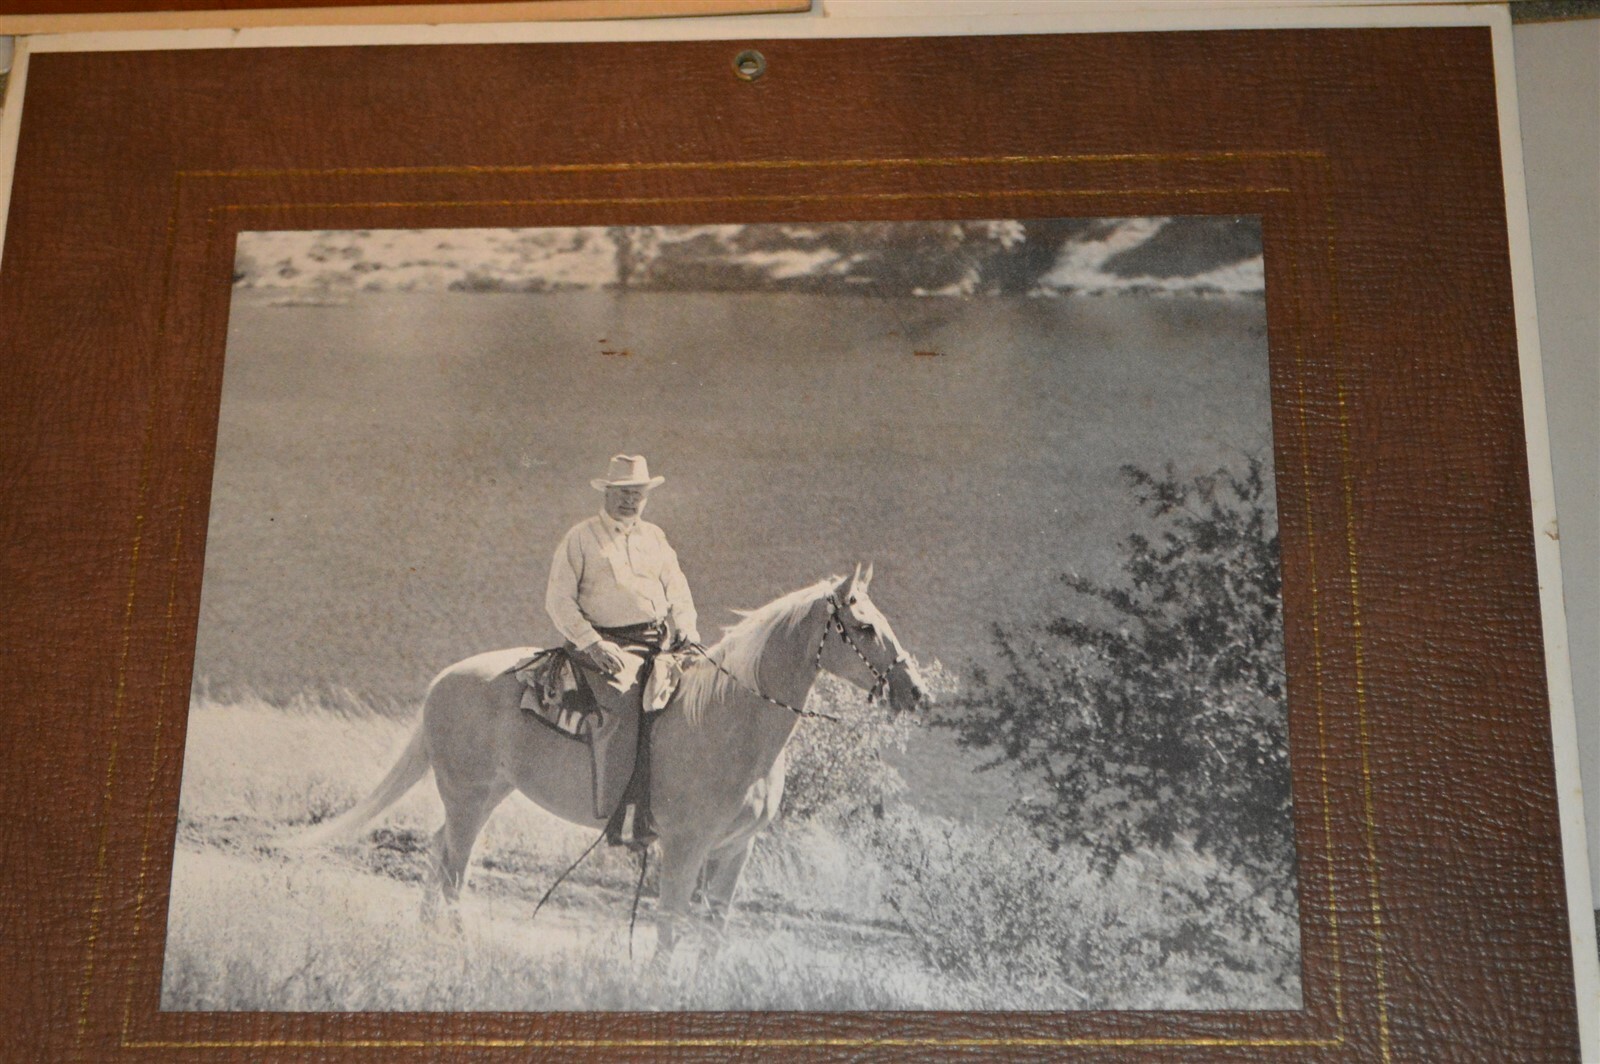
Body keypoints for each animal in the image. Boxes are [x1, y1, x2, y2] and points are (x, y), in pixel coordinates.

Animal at [300, 564, 926, 952]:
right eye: (864, 626)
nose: (916, 691)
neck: (727, 722)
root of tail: (442, 679)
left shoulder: (735, 850)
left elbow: (713, 934)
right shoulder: (684, 846)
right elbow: (670, 926)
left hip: (484, 794)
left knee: (438, 853)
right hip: (467, 795)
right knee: (454, 867)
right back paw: (454, 945)